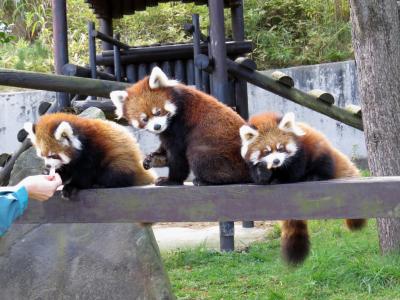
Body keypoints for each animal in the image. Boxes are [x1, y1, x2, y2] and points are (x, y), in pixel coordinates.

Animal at [23, 111, 155, 198]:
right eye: (43, 155)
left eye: (53, 155)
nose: (48, 166)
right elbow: (66, 169)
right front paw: (51, 173)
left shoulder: (93, 151)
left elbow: (86, 172)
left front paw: (72, 186)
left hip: (121, 160)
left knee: (116, 172)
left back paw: (100, 185)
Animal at [109, 67, 252, 186]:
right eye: (144, 119)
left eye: (158, 112)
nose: (157, 126)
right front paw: (155, 158)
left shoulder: (180, 125)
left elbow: (178, 155)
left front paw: (172, 180)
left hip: (214, 149)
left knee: (197, 155)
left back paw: (206, 181)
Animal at [239, 112, 368, 264]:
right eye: (266, 152)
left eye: (281, 148)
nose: (276, 161)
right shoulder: (252, 166)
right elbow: (259, 177)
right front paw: (265, 173)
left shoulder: (300, 153)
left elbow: (295, 171)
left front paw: (281, 179)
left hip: (321, 150)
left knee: (324, 165)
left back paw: (314, 177)